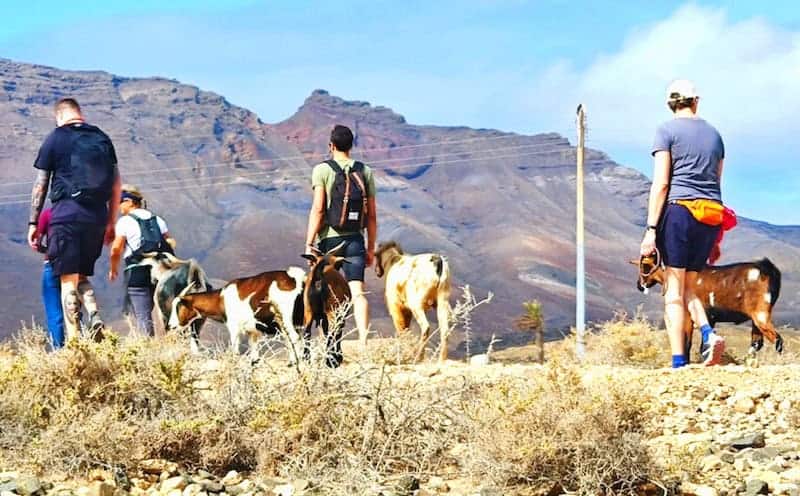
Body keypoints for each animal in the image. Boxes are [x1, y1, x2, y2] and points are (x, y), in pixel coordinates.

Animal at [169, 268, 306, 360]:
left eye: (179, 306)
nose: (171, 325)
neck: (221, 299)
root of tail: (295, 279)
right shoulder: (253, 332)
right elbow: (254, 354)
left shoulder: (234, 328)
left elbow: (235, 350)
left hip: (286, 321)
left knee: (294, 338)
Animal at [636, 256, 784, 356]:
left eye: (644, 266)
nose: (639, 285)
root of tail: (766, 269)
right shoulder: (710, 319)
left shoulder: (689, 316)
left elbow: (688, 343)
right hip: (756, 318)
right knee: (756, 343)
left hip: (761, 314)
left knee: (777, 341)